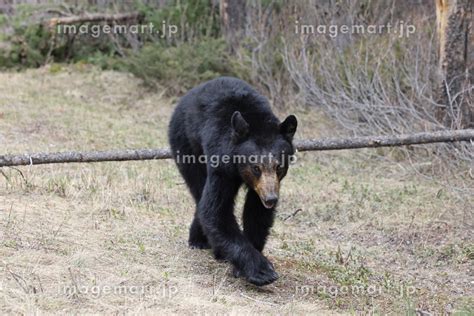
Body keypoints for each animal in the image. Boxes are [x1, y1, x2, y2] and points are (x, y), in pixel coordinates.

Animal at [168, 77, 298, 286]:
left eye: (279, 166)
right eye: (256, 167)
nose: (271, 199)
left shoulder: (262, 187)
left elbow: (256, 213)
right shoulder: (221, 166)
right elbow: (216, 211)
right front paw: (261, 270)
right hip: (185, 143)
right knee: (198, 188)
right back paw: (199, 241)